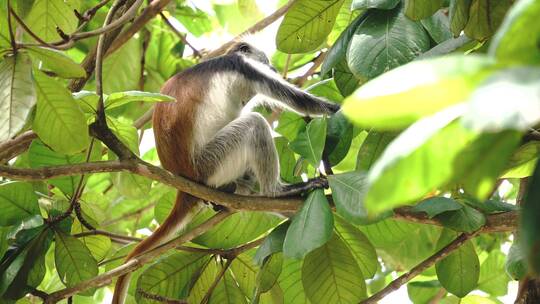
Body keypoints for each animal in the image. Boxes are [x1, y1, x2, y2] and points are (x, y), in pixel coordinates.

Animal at [112, 41, 340, 304]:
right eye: (266, 62)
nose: (273, 67)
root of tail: (184, 183)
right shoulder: (243, 67)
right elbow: (298, 100)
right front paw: (339, 108)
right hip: (211, 164)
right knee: (254, 123)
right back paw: (276, 192)